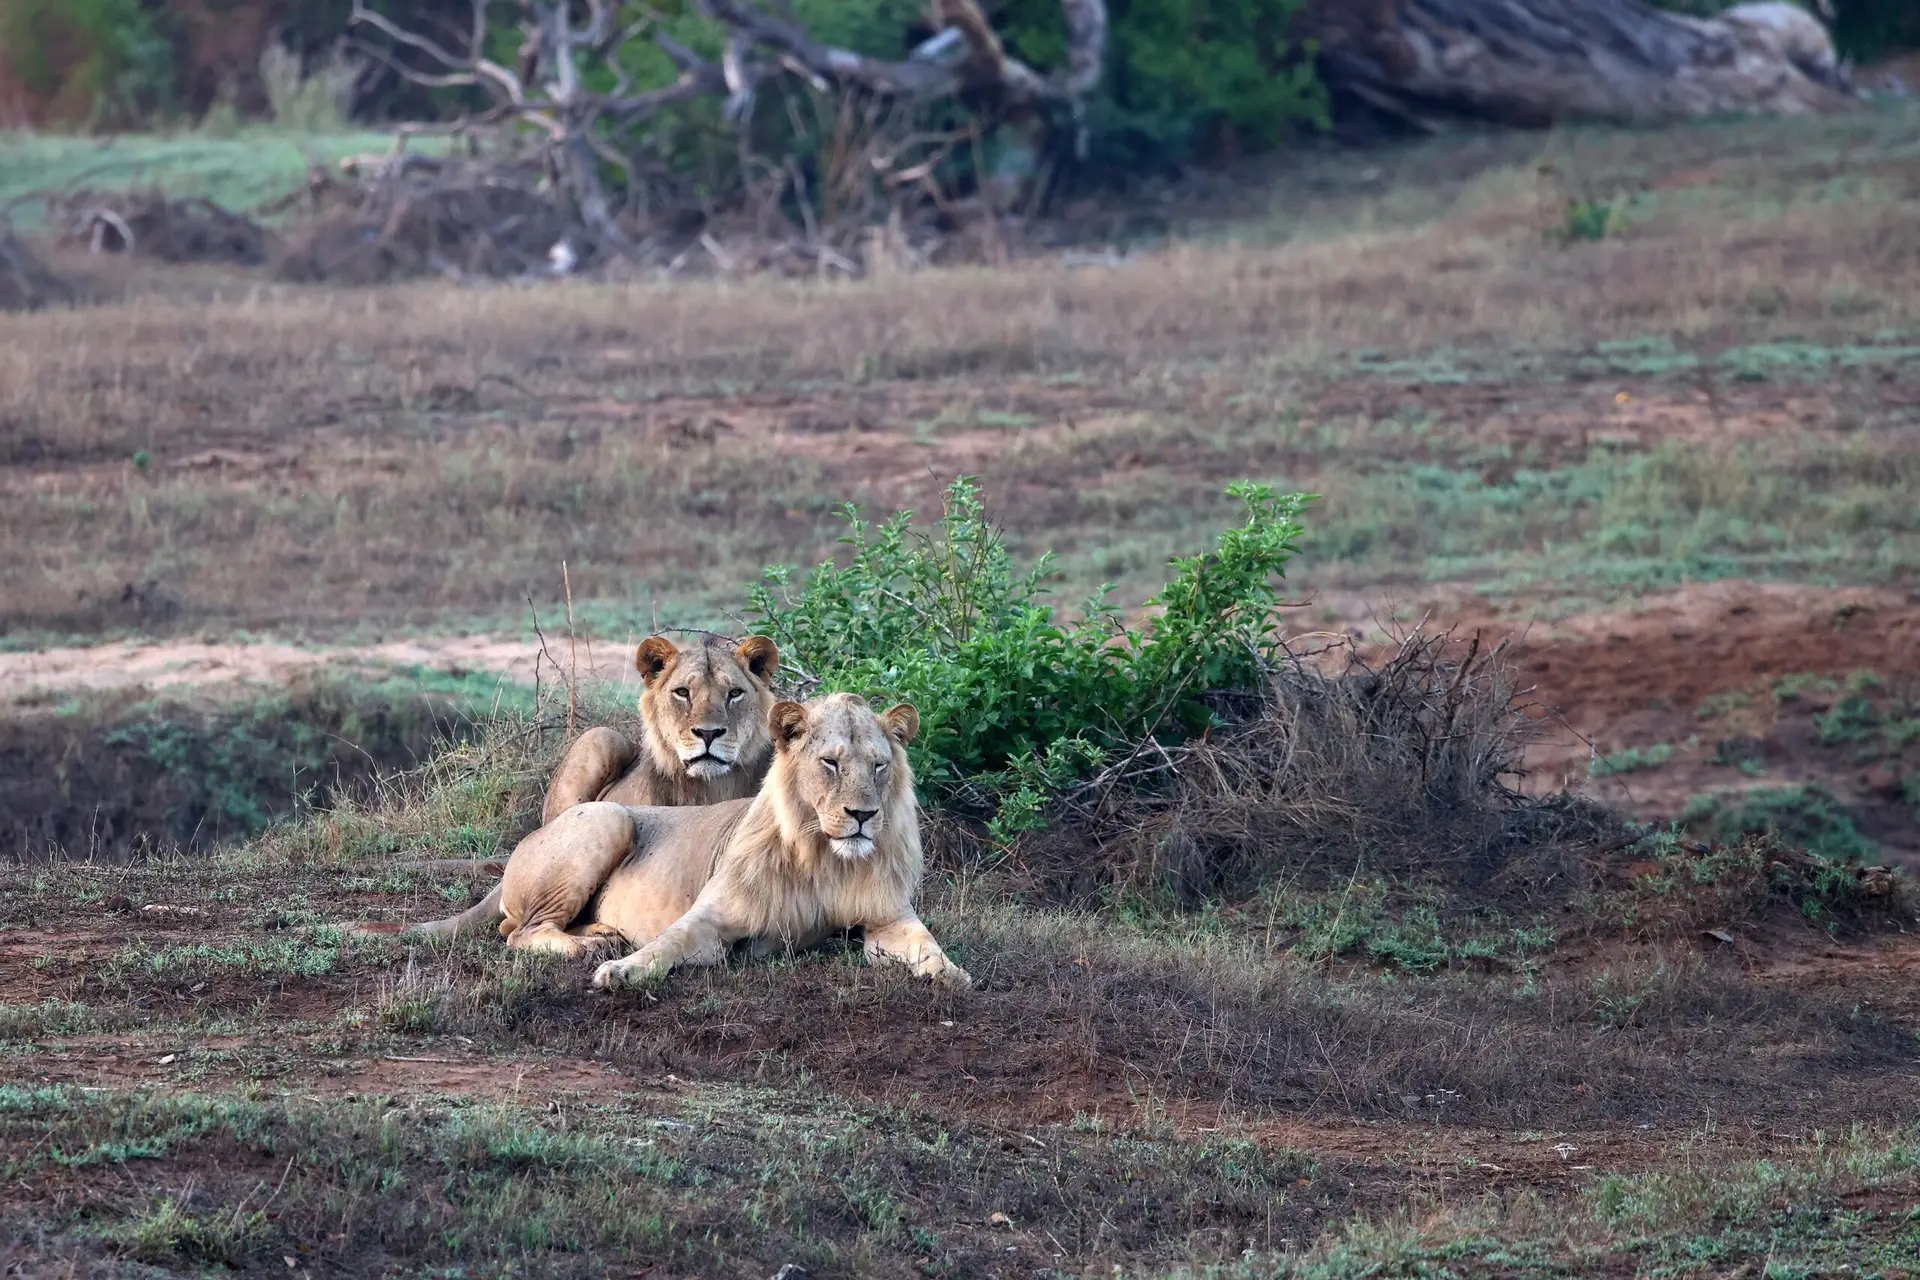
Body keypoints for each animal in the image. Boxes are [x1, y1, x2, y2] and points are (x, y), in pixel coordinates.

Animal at [406, 693, 970, 992]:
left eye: (878, 766)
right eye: (830, 763)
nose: (862, 816)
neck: (824, 858)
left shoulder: (887, 918)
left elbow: (926, 945)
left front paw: (951, 973)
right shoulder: (711, 918)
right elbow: (665, 946)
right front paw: (621, 970)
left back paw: (601, 934)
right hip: (610, 817)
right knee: (520, 932)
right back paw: (594, 947)